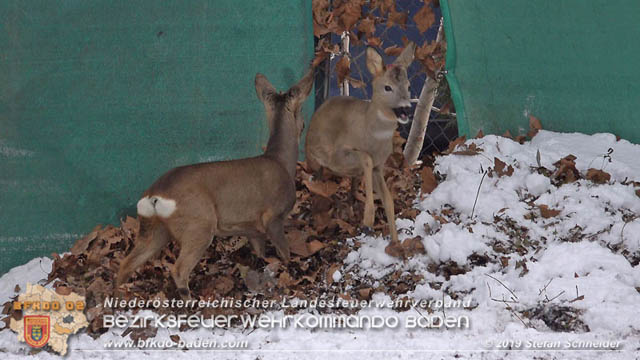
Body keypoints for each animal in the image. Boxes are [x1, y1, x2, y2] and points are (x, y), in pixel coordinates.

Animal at [118, 70, 316, 298]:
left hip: (153, 227)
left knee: (126, 263)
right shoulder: (274, 216)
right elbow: (285, 252)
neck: (281, 162)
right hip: (199, 223)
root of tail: (154, 196)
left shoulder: (253, 229)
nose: (304, 126)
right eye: (301, 115)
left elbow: (260, 252)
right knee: (178, 269)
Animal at [304, 43, 416, 245]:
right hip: (317, 159)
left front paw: (395, 242)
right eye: (387, 87)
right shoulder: (338, 156)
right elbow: (366, 159)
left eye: (408, 86)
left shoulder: (379, 166)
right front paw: (368, 220)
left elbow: (388, 200)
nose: (405, 108)